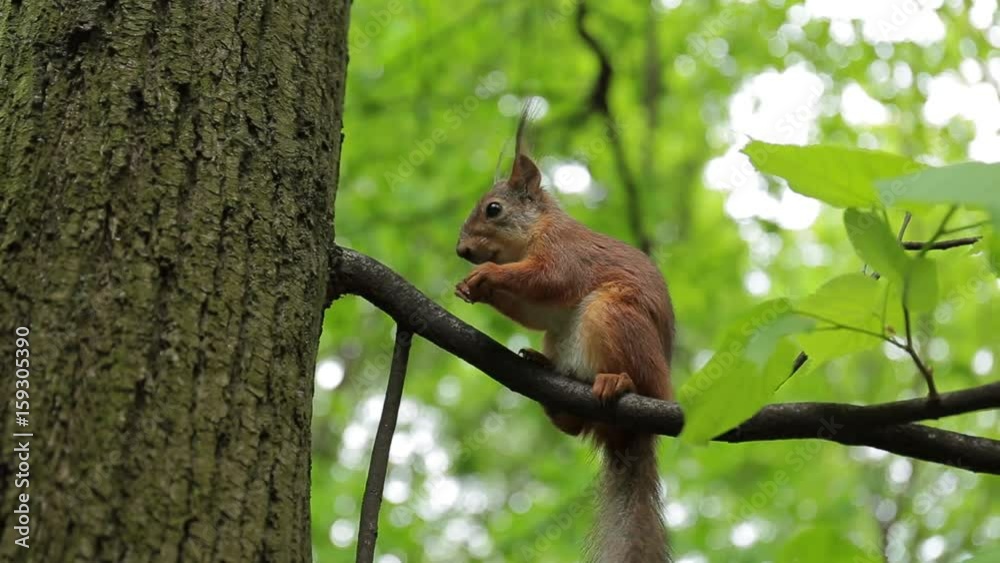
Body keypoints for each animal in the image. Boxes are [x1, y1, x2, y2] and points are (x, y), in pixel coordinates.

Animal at [454, 105, 675, 563]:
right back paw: (547, 378)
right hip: (561, 342)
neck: (531, 236)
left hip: (615, 316)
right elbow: (534, 310)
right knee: (573, 426)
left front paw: (486, 275)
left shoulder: (565, 253)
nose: (461, 251)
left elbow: (548, 279)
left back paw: (618, 381)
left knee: (637, 380)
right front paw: (471, 288)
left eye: (493, 209)